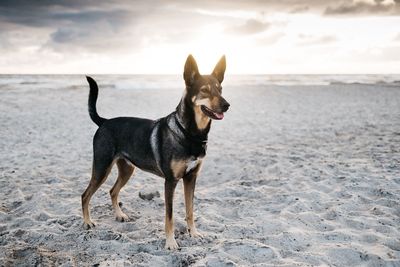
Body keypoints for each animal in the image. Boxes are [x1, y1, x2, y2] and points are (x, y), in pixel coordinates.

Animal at [81, 55, 230, 251]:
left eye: (220, 89)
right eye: (204, 90)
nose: (227, 105)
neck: (189, 133)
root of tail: (104, 122)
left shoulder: (191, 178)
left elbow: (190, 210)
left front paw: (194, 233)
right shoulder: (171, 181)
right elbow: (170, 216)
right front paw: (171, 242)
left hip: (127, 170)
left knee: (113, 191)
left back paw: (119, 215)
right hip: (102, 167)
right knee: (85, 195)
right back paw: (87, 222)